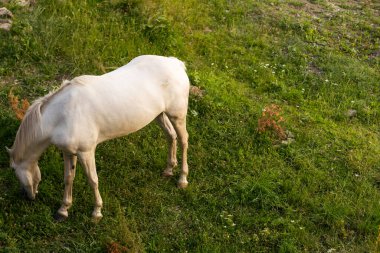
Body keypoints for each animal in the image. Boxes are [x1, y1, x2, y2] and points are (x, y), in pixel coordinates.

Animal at [5, 54, 190, 219]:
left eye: (13, 169)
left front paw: (97, 212)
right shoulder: (68, 152)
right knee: (171, 136)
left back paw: (182, 179)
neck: (62, 115)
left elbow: (92, 179)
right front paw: (63, 210)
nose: (27, 196)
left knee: (183, 141)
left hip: (177, 116)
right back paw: (168, 170)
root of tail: (175, 63)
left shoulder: (86, 152)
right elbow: (68, 178)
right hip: (160, 115)